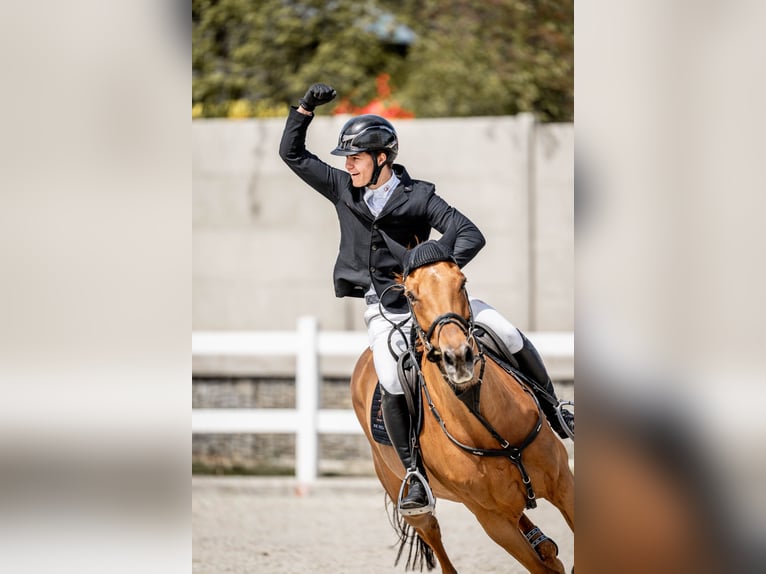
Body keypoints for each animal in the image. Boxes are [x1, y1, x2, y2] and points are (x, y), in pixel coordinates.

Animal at [352, 241, 572, 572]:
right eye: (411, 295)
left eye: (462, 282)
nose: (458, 358)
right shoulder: (493, 521)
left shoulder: (563, 484)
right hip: (408, 499)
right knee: (436, 541)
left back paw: (542, 542)